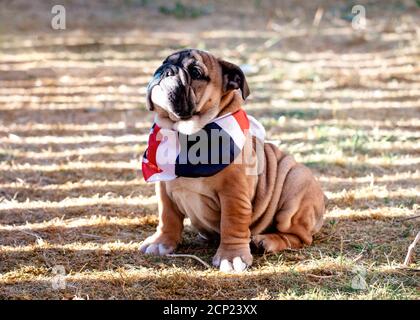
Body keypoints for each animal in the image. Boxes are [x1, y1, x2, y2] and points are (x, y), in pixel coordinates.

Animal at [139, 49, 326, 272]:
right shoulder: (164, 190)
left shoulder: (233, 195)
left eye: (195, 72)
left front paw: (231, 257)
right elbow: (167, 217)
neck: (185, 135)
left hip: (296, 183)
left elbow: (232, 224)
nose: (167, 70)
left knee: (299, 236)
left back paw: (267, 241)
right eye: (164, 62)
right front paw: (161, 242)